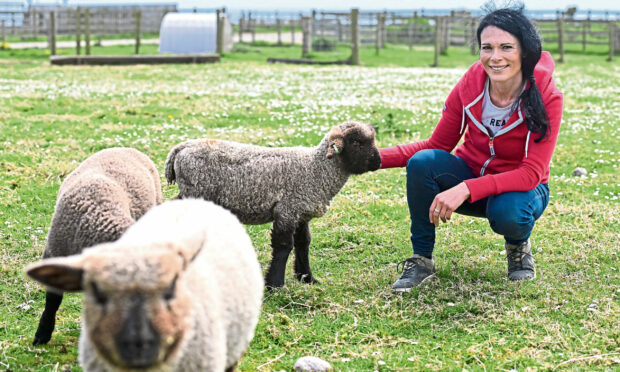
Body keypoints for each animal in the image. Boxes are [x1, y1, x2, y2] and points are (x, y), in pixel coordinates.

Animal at [162, 120, 380, 290]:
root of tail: (181, 148)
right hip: (196, 192)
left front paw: (307, 278)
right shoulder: (286, 209)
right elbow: (284, 246)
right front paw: (275, 285)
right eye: (356, 141)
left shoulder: (301, 212)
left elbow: (303, 243)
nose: (377, 162)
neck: (316, 169)